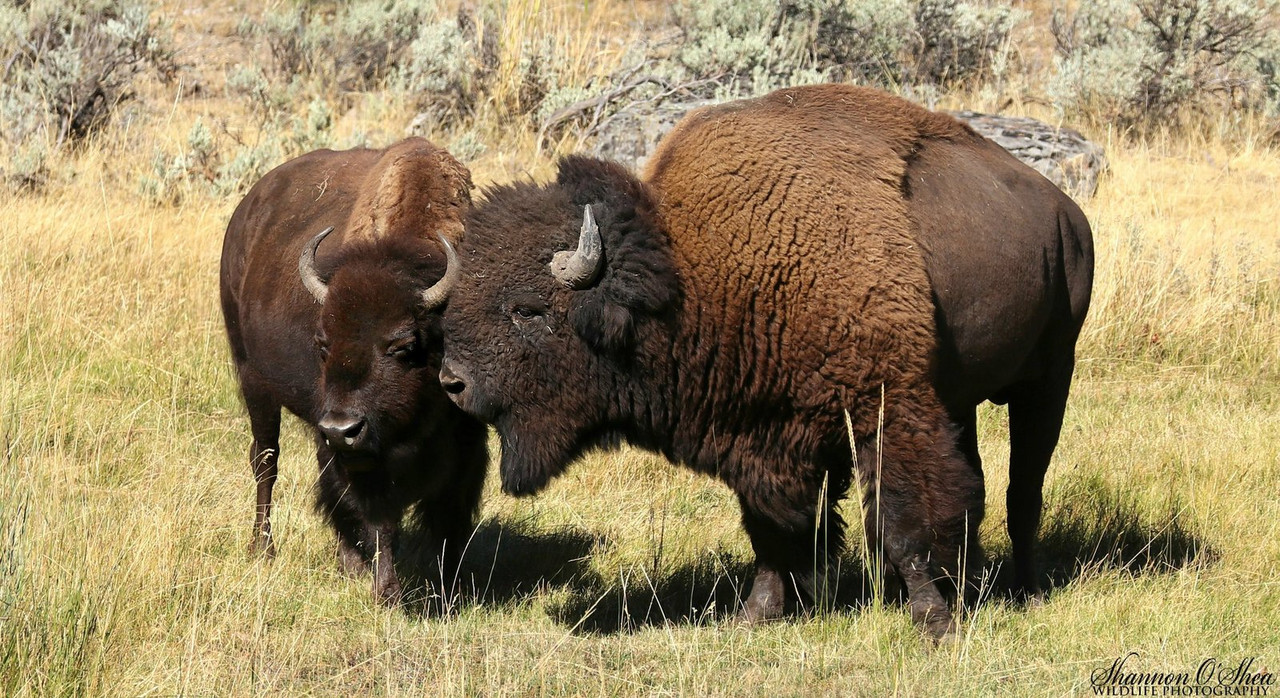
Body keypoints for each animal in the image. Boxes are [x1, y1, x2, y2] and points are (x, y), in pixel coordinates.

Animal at [220, 138, 488, 605]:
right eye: (323, 343)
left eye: (403, 345)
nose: (341, 427)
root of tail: (247, 209)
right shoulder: (368, 452)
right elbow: (380, 514)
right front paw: (388, 594)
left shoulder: (469, 439)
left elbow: (450, 514)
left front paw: (451, 590)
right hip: (255, 382)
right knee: (266, 461)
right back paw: (265, 549)